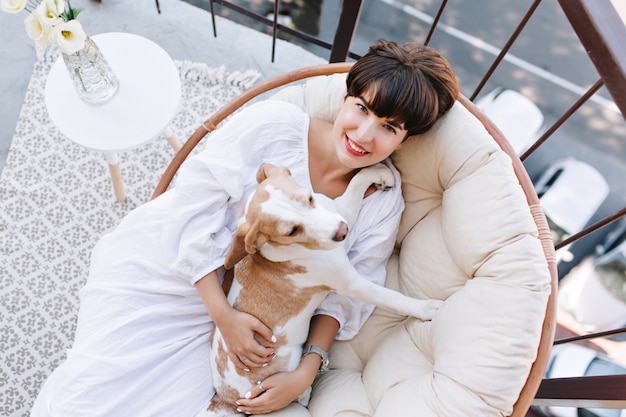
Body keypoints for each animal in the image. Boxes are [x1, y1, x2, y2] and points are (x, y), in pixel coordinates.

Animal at [197, 162, 442, 412]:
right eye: (292, 231)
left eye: (309, 198)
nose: (342, 232)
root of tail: (223, 396)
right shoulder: (351, 283)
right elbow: (392, 297)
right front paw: (426, 308)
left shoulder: (340, 209)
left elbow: (358, 181)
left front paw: (380, 174)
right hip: (288, 359)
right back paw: (304, 392)